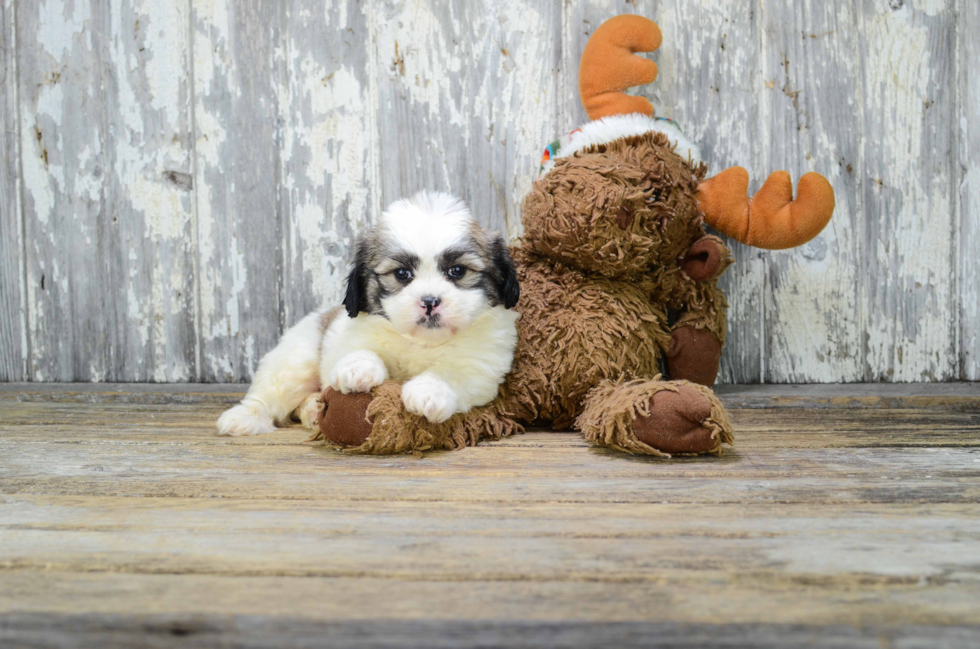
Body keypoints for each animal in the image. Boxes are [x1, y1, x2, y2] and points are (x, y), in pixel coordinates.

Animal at [214, 191, 520, 436]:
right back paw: (245, 418)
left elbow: (451, 373)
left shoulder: (481, 368)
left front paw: (428, 391)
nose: (430, 301)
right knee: (270, 394)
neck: (420, 342)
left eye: (457, 271)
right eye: (402, 274)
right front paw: (358, 369)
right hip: (295, 361)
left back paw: (312, 410)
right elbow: (360, 349)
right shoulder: (350, 335)